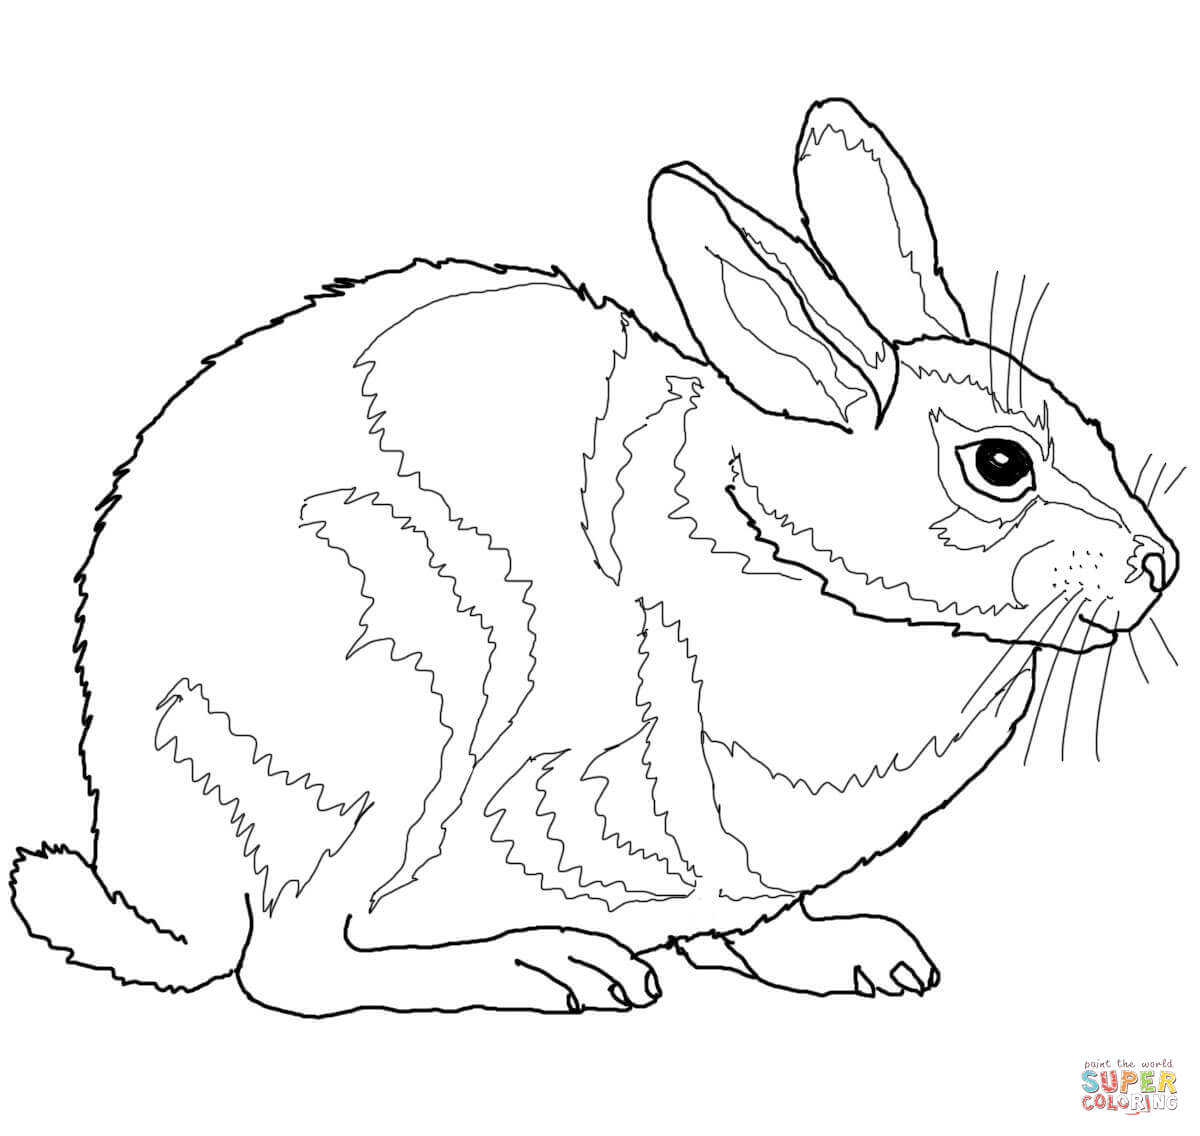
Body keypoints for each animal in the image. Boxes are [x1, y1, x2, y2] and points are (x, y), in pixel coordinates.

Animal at [11, 98, 1179, 1016]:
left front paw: (861, 955)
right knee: (291, 962)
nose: (1159, 564)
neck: (782, 544)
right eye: (1000, 464)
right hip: (409, 702)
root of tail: (155, 867)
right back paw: (550, 968)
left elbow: (760, 918)